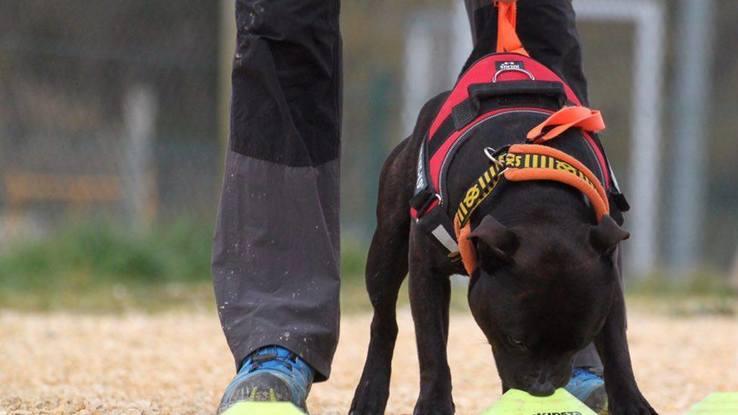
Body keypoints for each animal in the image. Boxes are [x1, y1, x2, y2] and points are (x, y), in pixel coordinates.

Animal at [348, 77, 652, 412]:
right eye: (517, 340)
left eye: (578, 342)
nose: (542, 389)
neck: (539, 202)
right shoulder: (425, 271)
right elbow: (430, 344)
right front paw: (433, 405)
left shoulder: (608, 274)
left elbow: (616, 345)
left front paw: (632, 402)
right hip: (386, 249)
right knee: (384, 321)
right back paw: (369, 394)